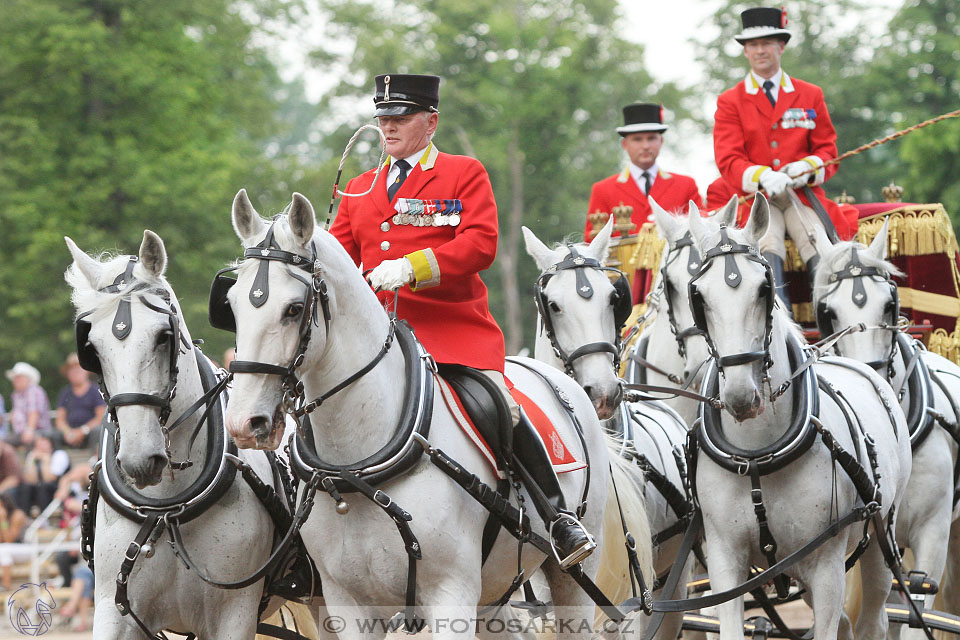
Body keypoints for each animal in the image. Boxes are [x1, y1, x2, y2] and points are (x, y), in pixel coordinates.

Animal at [65, 232, 306, 636]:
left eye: (164, 336)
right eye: (92, 349)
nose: (139, 460)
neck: (166, 509)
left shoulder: (233, 614)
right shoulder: (114, 612)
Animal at [220, 191, 644, 640]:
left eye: (294, 308)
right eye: (230, 305)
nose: (246, 422)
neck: (359, 465)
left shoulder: (449, 594)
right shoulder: (347, 603)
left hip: (572, 576)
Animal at [688, 196, 912, 640]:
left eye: (763, 288)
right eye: (699, 297)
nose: (741, 396)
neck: (759, 457)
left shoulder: (826, 567)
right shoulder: (725, 562)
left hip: (880, 540)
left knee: (872, 619)